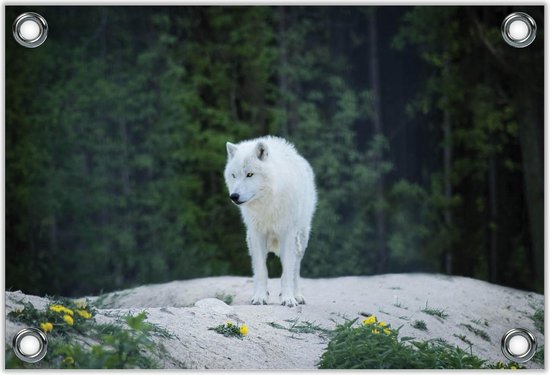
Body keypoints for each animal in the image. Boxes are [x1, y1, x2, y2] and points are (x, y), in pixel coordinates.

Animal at [225, 137, 320, 306]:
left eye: (250, 174)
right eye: (234, 175)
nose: (234, 196)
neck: (267, 203)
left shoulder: (288, 234)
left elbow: (287, 272)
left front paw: (288, 299)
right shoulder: (257, 235)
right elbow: (261, 271)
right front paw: (260, 297)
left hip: (301, 240)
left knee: (296, 269)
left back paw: (297, 295)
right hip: (250, 241)